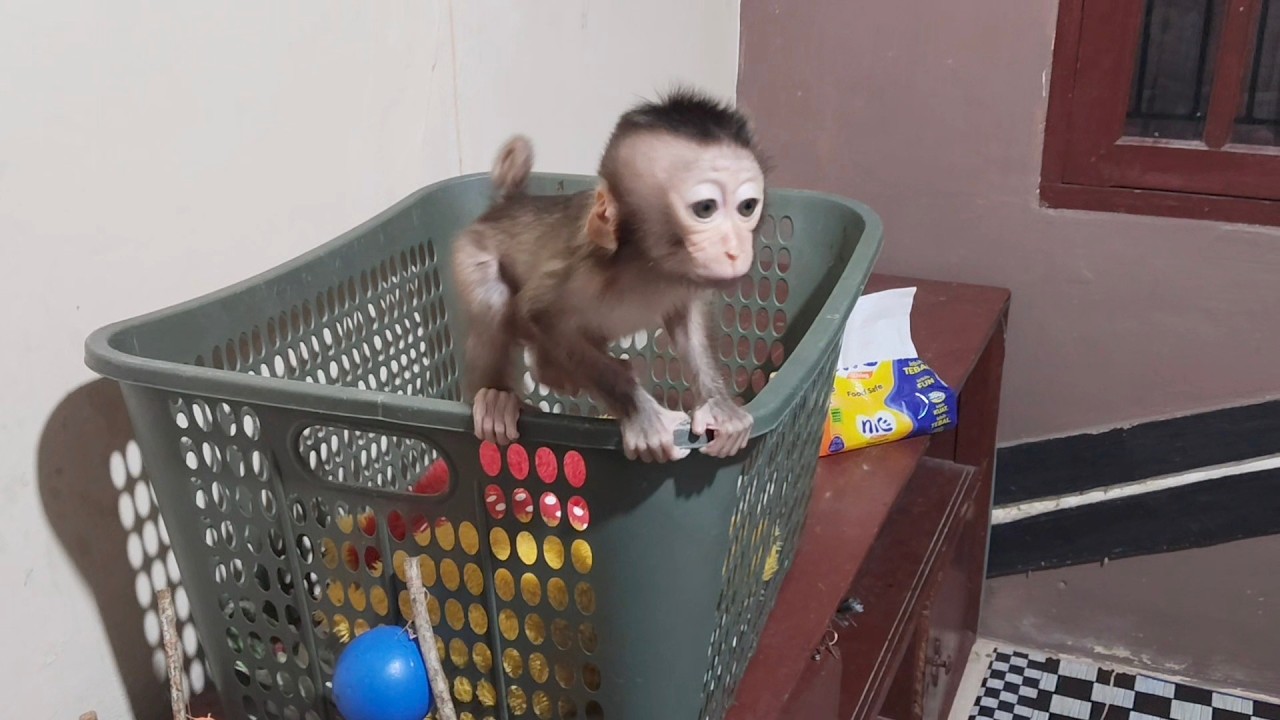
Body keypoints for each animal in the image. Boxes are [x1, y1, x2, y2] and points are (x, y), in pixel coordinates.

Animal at [452, 88, 767, 463]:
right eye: (706, 209)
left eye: (747, 207)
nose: (735, 249)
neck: (648, 265)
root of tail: (506, 205)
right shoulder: (582, 269)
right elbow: (539, 311)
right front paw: (643, 416)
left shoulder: (683, 284)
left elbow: (685, 323)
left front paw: (720, 407)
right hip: (472, 251)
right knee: (495, 301)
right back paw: (497, 398)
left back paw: (552, 373)